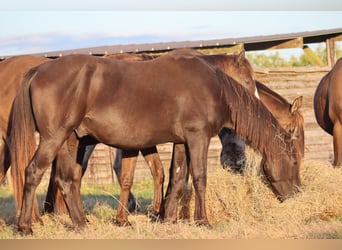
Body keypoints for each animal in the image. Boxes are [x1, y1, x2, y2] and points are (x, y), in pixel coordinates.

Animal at [9, 53, 300, 234]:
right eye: (295, 161)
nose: (297, 194)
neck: (214, 87)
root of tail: (38, 70)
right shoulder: (198, 138)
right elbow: (199, 178)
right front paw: (203, 221)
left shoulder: (183, 142)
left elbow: (178, 176)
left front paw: (168, 217)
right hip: (54, 138)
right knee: (32, 172)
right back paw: (26, 226)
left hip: (71, 139)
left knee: (67, 180)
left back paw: (81, 223)